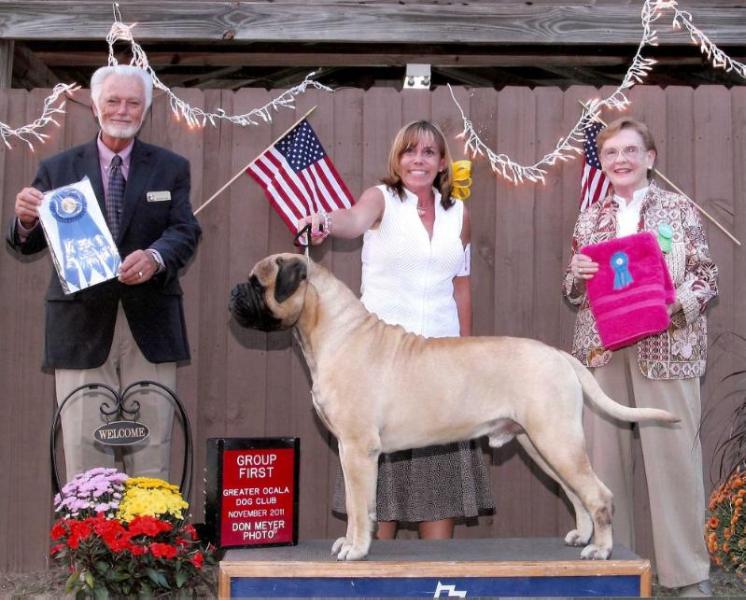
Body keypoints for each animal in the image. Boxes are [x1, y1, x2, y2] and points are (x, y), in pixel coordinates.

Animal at [230, 253, 676, 564]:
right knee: (576, 493)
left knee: (598, 494)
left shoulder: (356, 450)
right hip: (541, 445)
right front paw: (354, 542)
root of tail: (560, 356)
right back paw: (582, 537)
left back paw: (601, 550)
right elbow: (363, 507)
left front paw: (355, 549)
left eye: (257, 282)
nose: (233, 293)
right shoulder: (352, 452)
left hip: (556, 440)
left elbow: (358, 506)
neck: (334, 331)